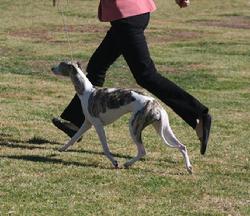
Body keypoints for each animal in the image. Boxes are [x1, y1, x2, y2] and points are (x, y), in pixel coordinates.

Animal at [51, 61, 192, 173]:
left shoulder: (98, 125)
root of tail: (155, 104)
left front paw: (114, 162)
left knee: (142, 151)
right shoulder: (87, 123)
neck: (87, 91)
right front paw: (62, 148)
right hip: (163, 128)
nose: (52, 68)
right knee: (182, 146)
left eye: (61, 64)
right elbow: (73, 138)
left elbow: (105, 147)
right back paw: (189, 168)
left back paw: (127, 163)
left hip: (134, 126)